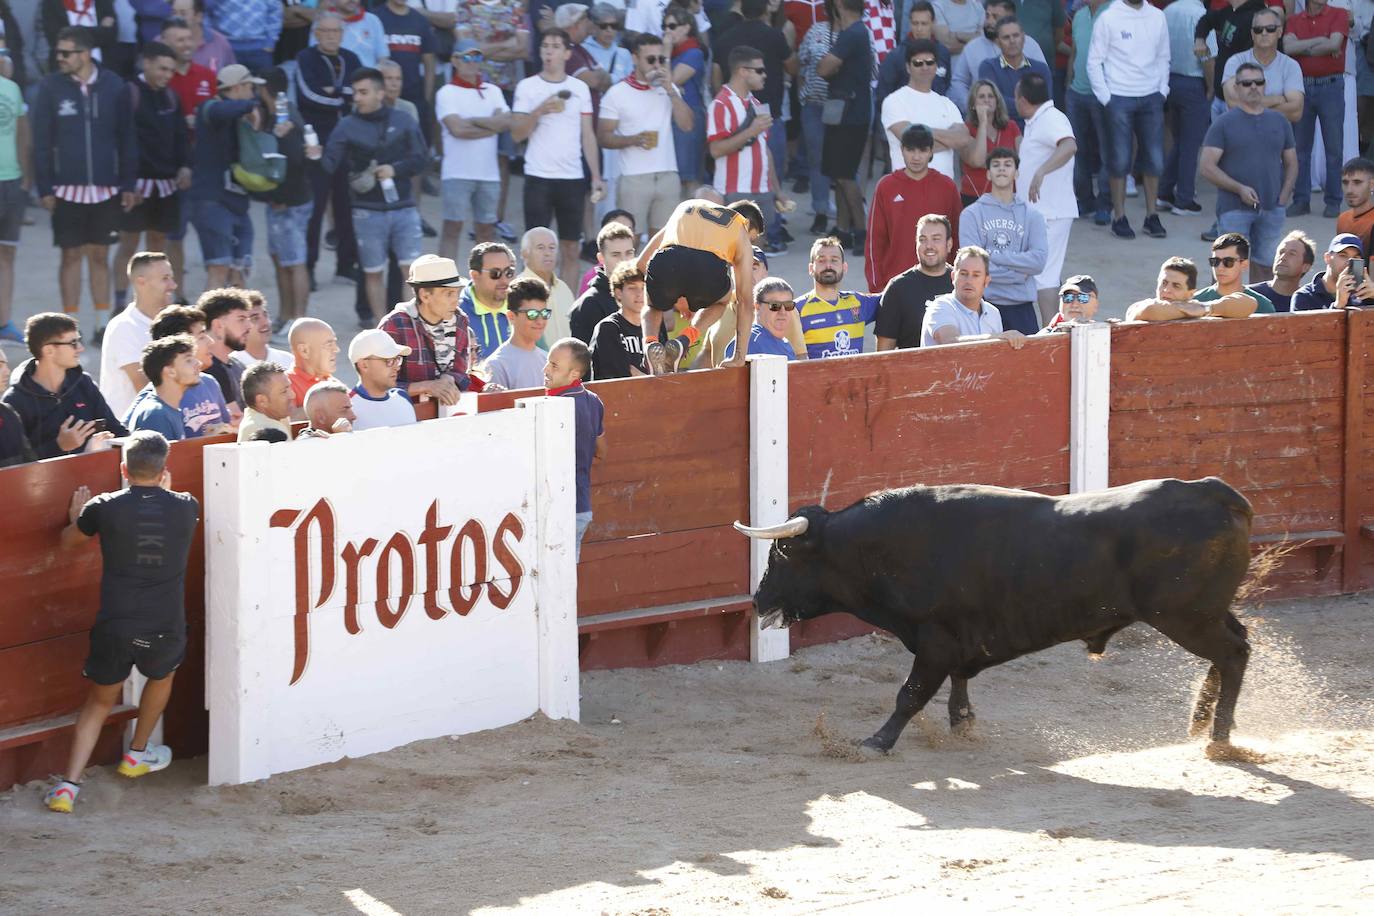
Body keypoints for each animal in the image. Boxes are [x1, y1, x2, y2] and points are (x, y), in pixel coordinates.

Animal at [741, 480, 1258, 752]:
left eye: (783, 553)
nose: (758, 601)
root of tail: (1214, 492)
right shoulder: (956, 641)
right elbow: (957, 683)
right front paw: (962, 724)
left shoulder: (935, 640)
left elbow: (910, 694)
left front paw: (877, 741)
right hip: (1205, 614)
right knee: (1233, 648)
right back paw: (1198, 723)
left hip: (1184, 616)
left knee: (1233, 654)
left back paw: (1218, 738)